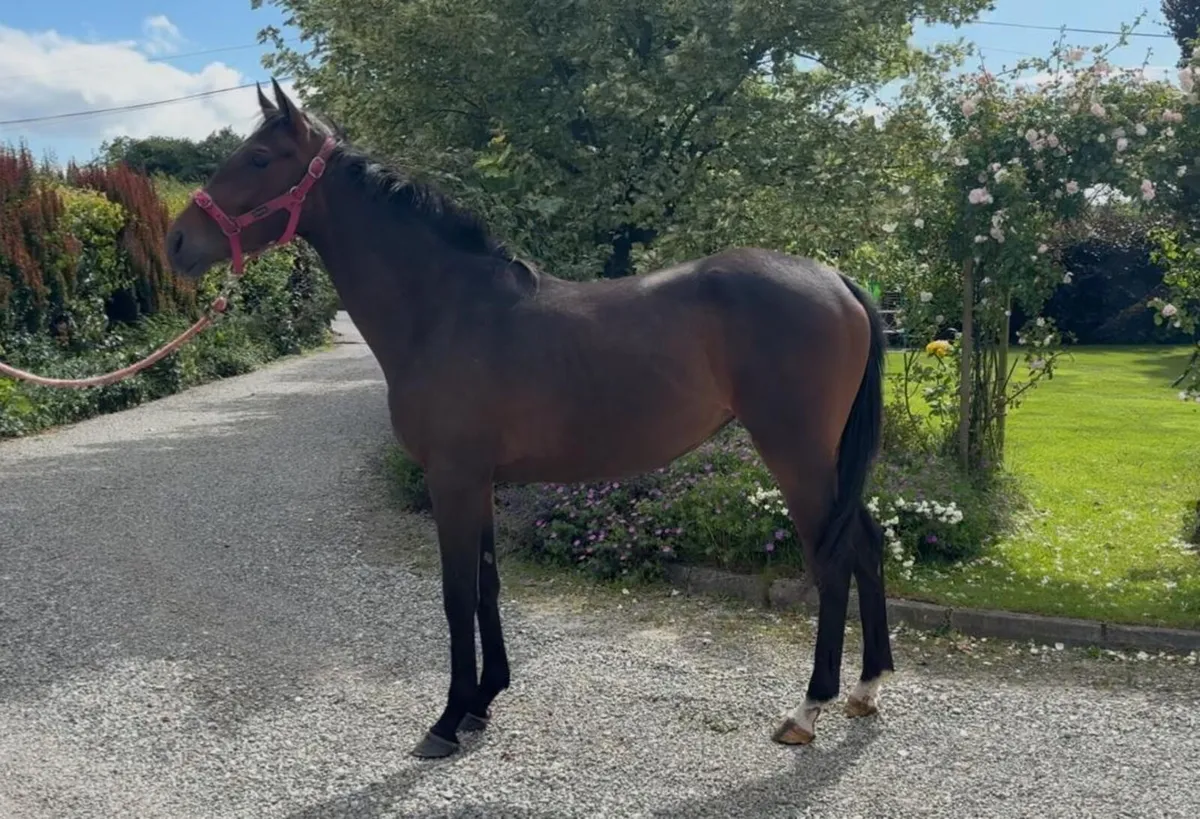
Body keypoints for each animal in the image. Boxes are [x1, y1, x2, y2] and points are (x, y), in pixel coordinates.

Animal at [165, 79, 895, 759]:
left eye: (259, 157)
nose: (176, 240)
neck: (446, 308)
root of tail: (838, 280)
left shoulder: (452, 479)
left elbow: (457, 594)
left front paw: (446, 719)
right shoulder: (478, 480)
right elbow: (487, 585)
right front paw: (484, 700)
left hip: (795, 452)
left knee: (833, 558)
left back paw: (809, 708)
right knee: (866, 541)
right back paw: (867, 688)